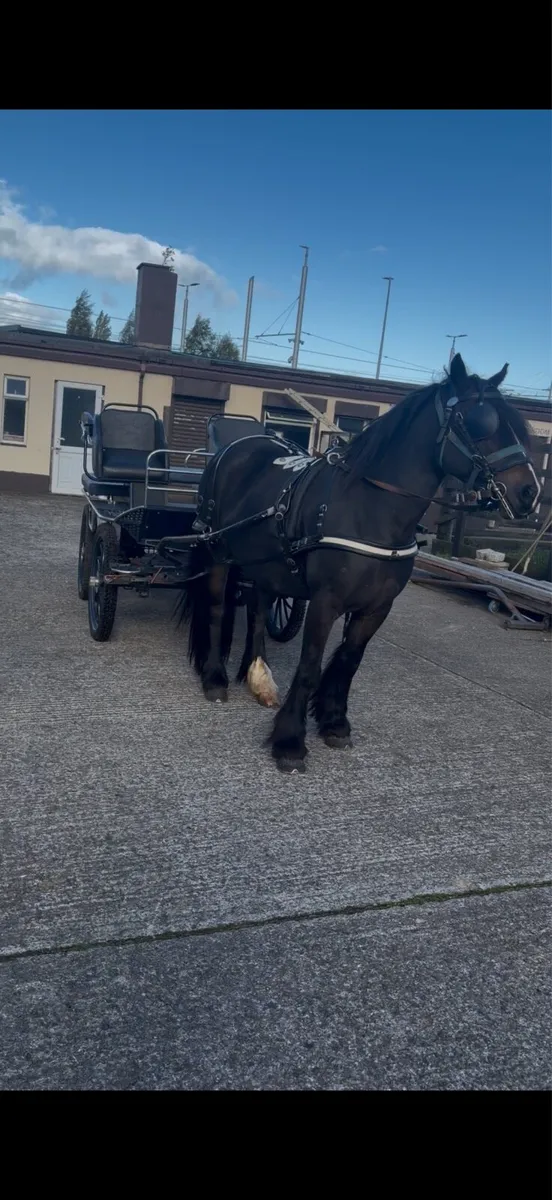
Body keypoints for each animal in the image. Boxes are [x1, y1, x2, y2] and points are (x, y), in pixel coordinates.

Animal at [178, 354, 540, 773]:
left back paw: (259, 678)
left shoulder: (376, 607)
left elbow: (348, 662)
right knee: (217, 610)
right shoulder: (325, 602)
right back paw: (215, 679)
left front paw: (334, 723)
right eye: (479, 422)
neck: (370, 510)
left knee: (256, 611)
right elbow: (310, 667)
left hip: (265, 564)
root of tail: (236, 446)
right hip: (217, 552)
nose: (530, 493)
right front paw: (289, 742)